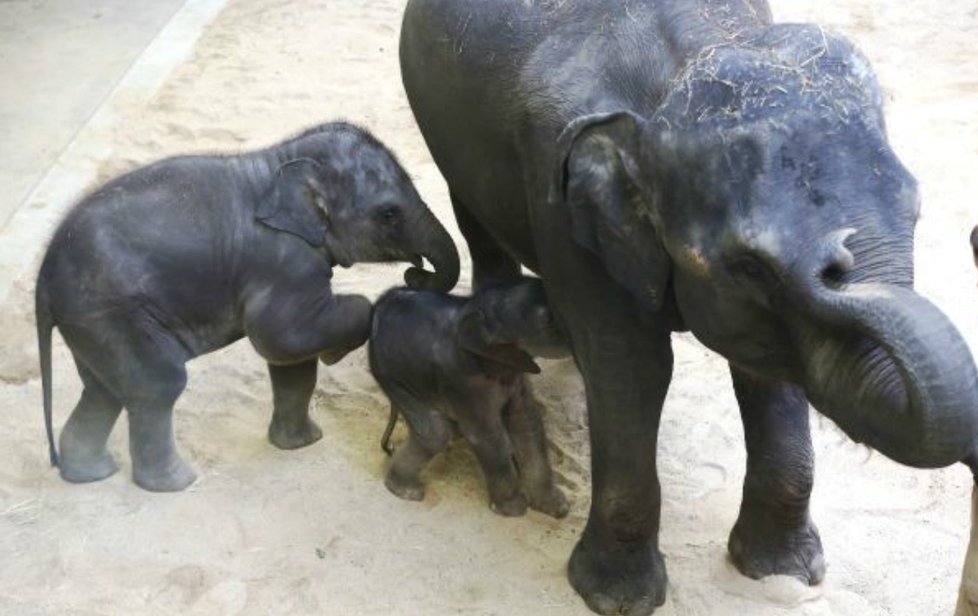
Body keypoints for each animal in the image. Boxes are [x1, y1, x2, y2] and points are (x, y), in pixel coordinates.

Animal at [32, 122, 456, 494]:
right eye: (389, 213)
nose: (415, 274)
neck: (280, 160)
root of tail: (44, 278)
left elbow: (292, 365)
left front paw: (301, 443)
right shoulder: (282, 262)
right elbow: (278, 335)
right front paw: (335, 353)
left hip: (89, 323)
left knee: (104, 390)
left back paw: (91, 474)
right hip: (112, 313)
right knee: (157, 384)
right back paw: (179, 483)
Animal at [368, 276, 568, 516]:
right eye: (549, 318)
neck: (473, 307)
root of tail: (381, 301)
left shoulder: (516, 375)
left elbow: (526, 422)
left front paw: (558, 507)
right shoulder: (462, 381)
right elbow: (486, 435)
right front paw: (514, 509)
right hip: (391, 376)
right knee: (435, 434)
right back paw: (406, 491)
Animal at [400, 0, 976, 612]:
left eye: (916, 211)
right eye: (751, 266)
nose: (835, 264)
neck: (691, 56)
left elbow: (768, 371)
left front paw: (786, 573)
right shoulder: (563, 203)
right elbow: (632, 369)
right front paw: (615, 598)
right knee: (474, 217)